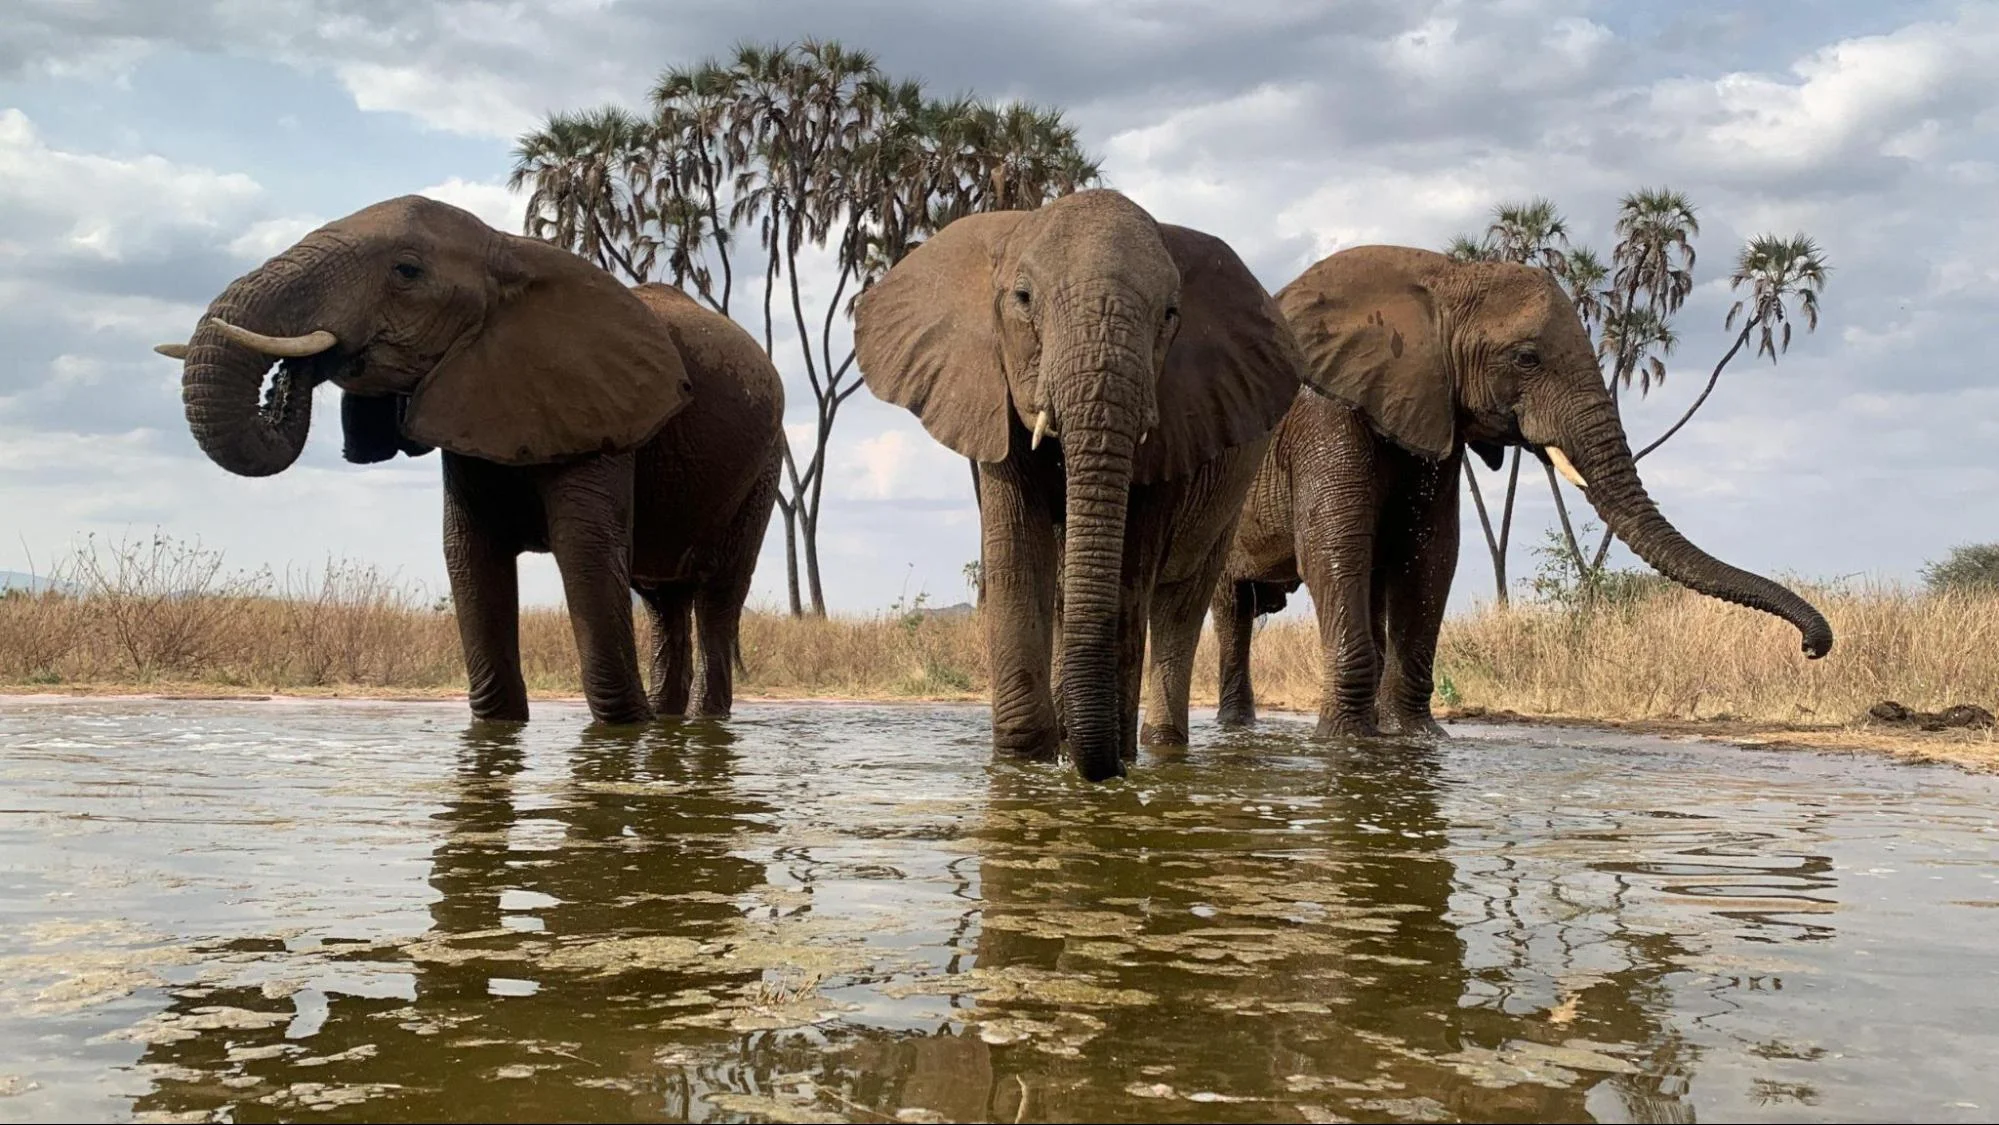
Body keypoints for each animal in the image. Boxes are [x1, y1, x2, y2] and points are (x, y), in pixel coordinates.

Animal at [155, 197, 783, 727]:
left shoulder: (601, 415)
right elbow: (469, 556)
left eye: (407, 272)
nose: (298, 374)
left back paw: (700, 721)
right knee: (662, 603)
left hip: (763, 471)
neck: (507, 251)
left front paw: (624, 728)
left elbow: (584, 554)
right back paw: (669, 720)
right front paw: (501, 729)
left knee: (717, 598)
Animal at [855, 188, 1311, 783]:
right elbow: (1019, 558)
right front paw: (1024, 764)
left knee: (1181, 604)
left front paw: (1108, 758)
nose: (1107, 771)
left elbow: (1128, 577)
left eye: (1170, 314)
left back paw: (1156, 744)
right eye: (1023, 298)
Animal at [1207, 246, 1831, 739]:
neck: (1440, 281)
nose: (1812, 648)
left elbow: (1429, 555)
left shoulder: (1435, 416)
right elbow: (1335, 548)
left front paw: (1416, 740)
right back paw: (1235, 730)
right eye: (1526, 358)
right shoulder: (1326, 415)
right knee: (1231, 609)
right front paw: (1345, 745)